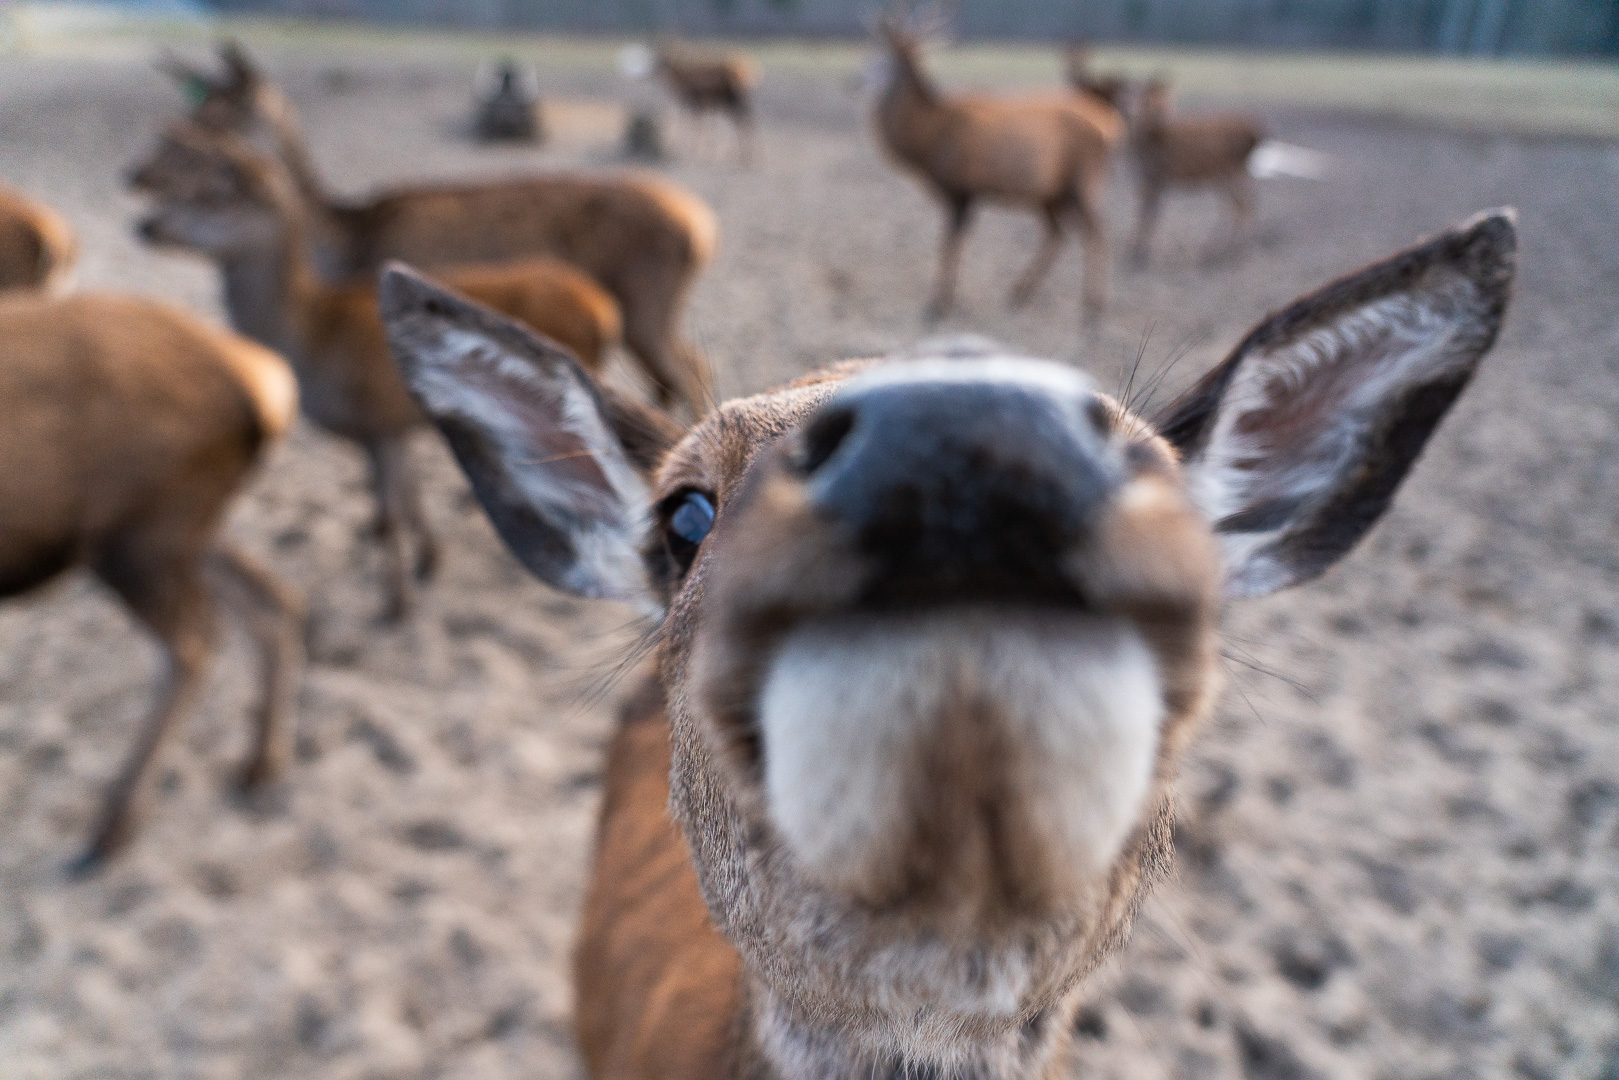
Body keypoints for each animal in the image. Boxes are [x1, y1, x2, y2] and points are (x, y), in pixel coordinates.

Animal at [2, 289, 304, 880]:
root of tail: (263, 385)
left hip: (137, 534)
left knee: (192, 646)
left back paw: (111, 828)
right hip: (181, 530)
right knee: (271, 598)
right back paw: (259, 764)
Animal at [134, 122, 618, 621]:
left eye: (212, 195)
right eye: (188, 185)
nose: (146, 225)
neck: (313, 341)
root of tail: (604, 311)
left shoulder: (378, 424)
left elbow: (388, 516)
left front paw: (395, 604)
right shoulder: (391, 425)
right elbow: (406, 498)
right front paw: (428, 561)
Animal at [135, 42, 718, 414]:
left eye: (222, 108)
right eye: (199, 104)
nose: (135, 172)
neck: (345, 240)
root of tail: (702, 227)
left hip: (646, 301)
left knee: (691, 375)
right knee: (686, 369)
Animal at [874, 13, 1126, 325]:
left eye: (880, 57)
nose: (853, 82)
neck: (929, 138)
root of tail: (1110, 130)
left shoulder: (960, 191)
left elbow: (949, 245)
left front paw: (939, 304)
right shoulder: (965, 195)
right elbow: (953, 244)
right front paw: (946, 300)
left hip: (1084, 181)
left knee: (1097, 231)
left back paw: (1093, 306)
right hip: (1051, 195)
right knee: (1059, 233)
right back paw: (1020, 293)